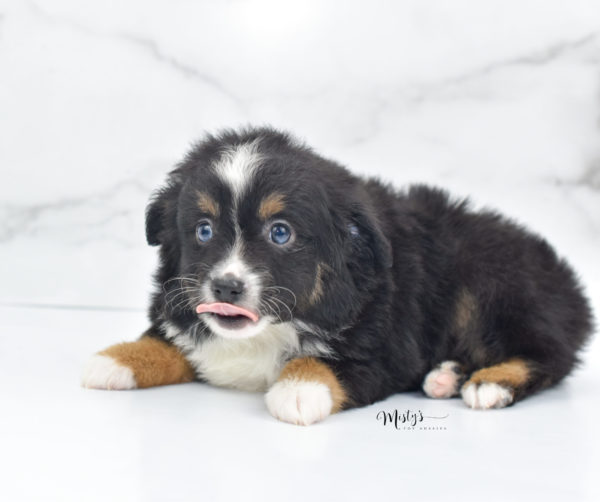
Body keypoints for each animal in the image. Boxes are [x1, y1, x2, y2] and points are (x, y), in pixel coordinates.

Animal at [82, 127, 592, 426]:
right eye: (203, 230)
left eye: (280, 232)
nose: (226, 287)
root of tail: (568, 284)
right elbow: (169, 342)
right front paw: (115, 360)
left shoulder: (387, 347)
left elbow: (330, 362)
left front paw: (298, 388)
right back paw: (446, 376)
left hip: (493, 284)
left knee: (548, 355)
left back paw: (489, 384)